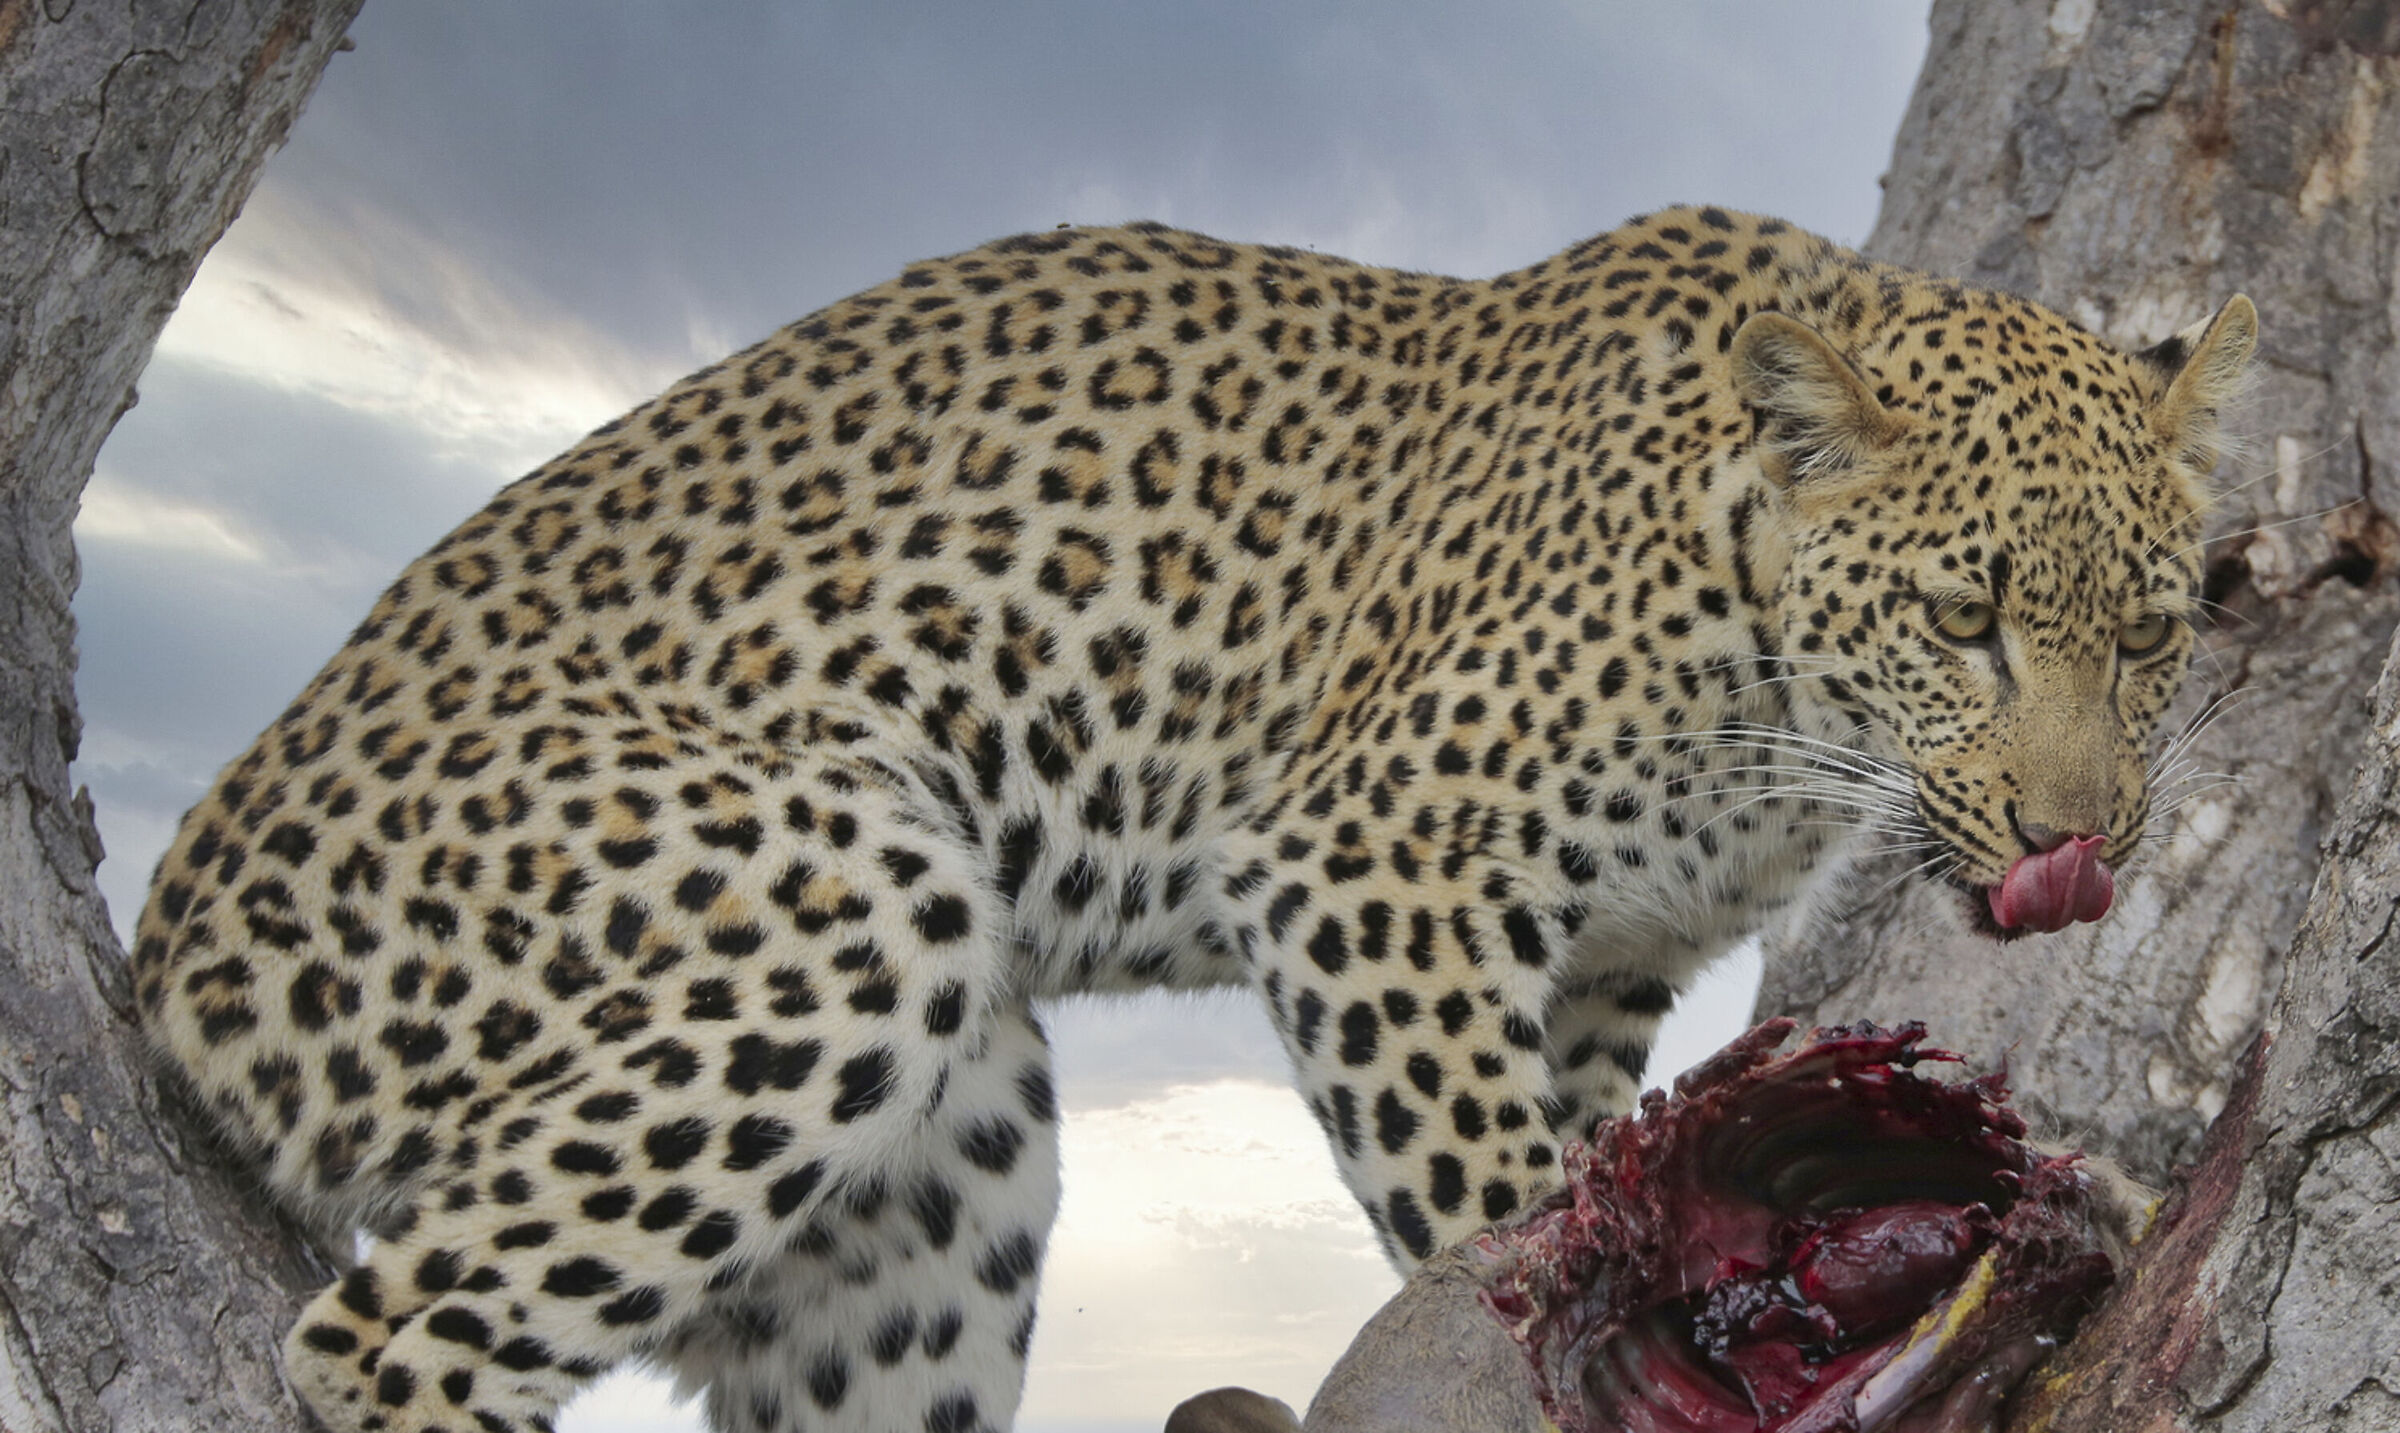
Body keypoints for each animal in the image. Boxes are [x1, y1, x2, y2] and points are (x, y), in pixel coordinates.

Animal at [130, 205, 2254, 1433]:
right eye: (1966, 620)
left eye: (2158, 635)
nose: (2074, 841)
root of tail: (169, 941)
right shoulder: (1376, 869)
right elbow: (1499, 1211)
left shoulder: (1598, 967)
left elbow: (1606, 1157)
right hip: (848, 909)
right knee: (386, 1342)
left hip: (947, 1171)